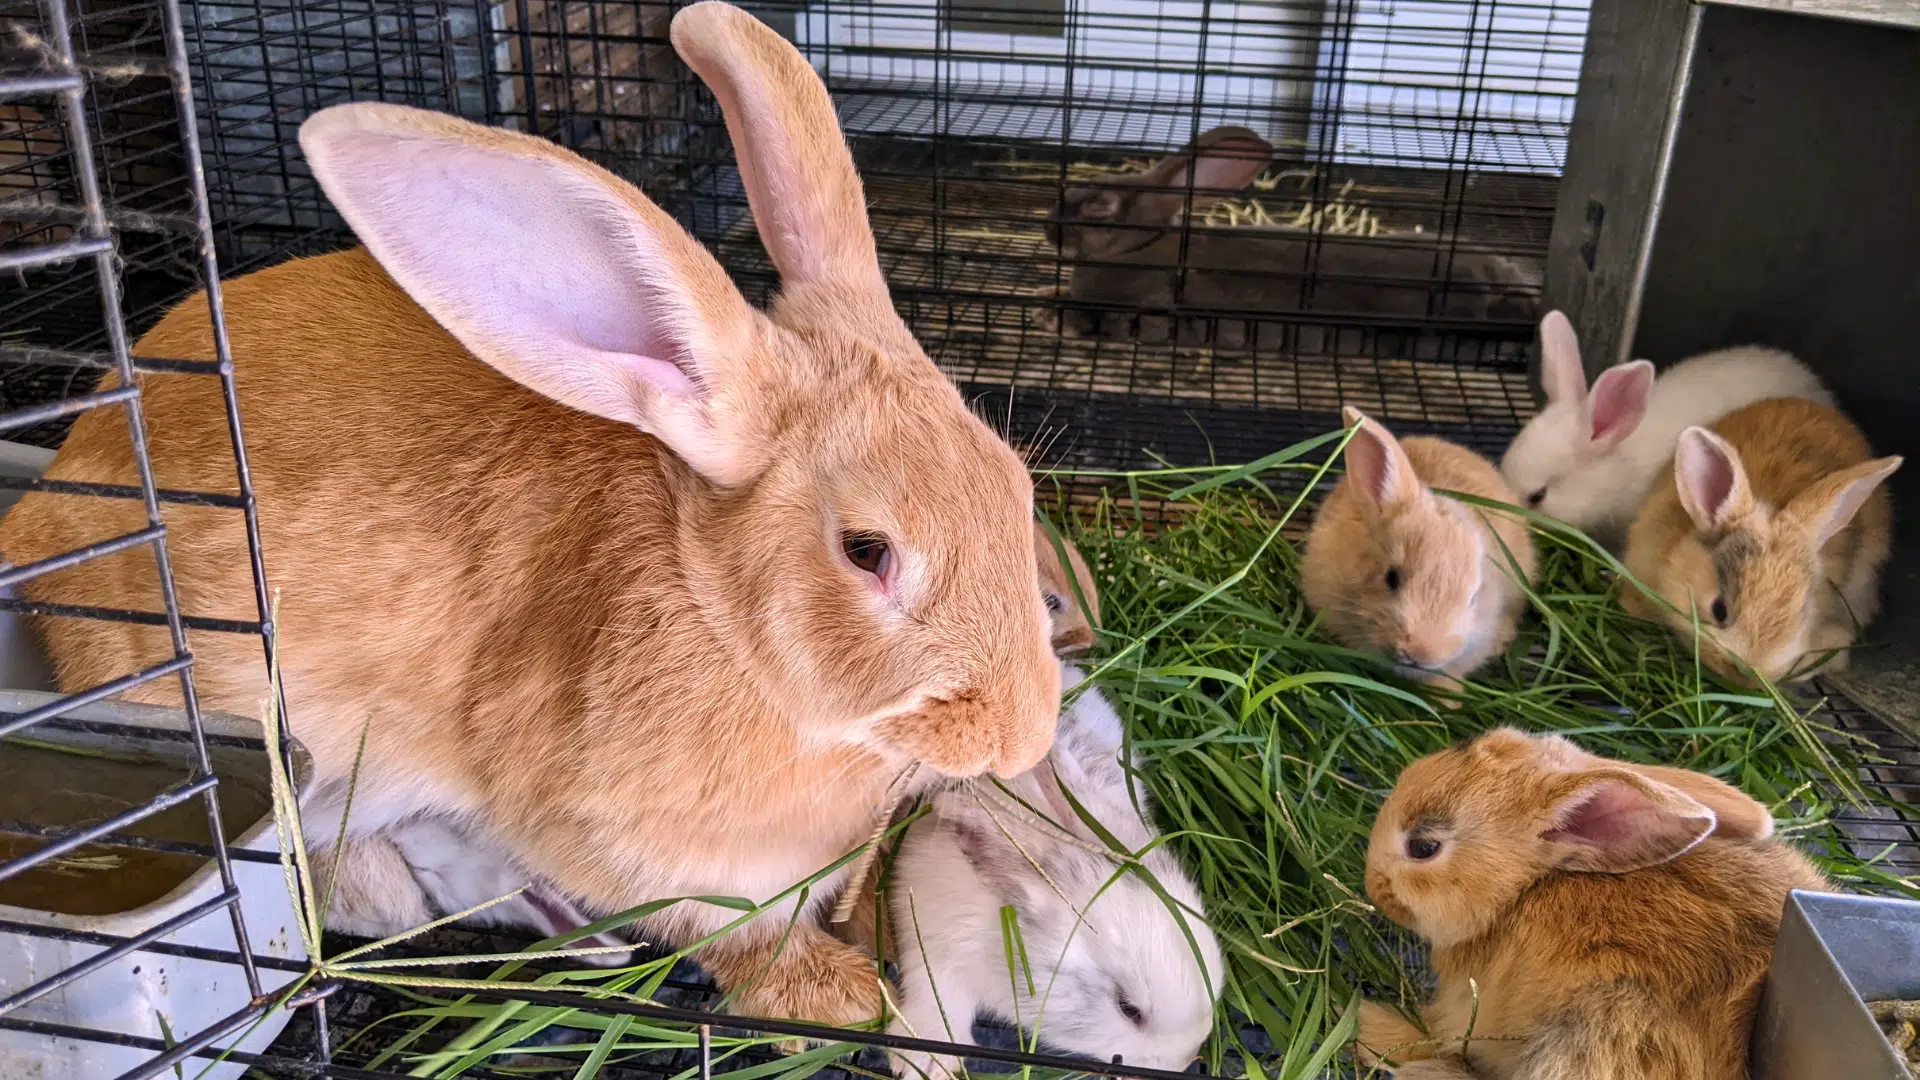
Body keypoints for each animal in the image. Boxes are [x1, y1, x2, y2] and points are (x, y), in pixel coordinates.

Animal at [0, 2, 1061, 1029]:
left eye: (1016, 485)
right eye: (866, 550)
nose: (1022, 737)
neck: (721, 618)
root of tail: (50, 504)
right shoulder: (616, 837)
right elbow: (722, 931)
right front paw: (834, 998)